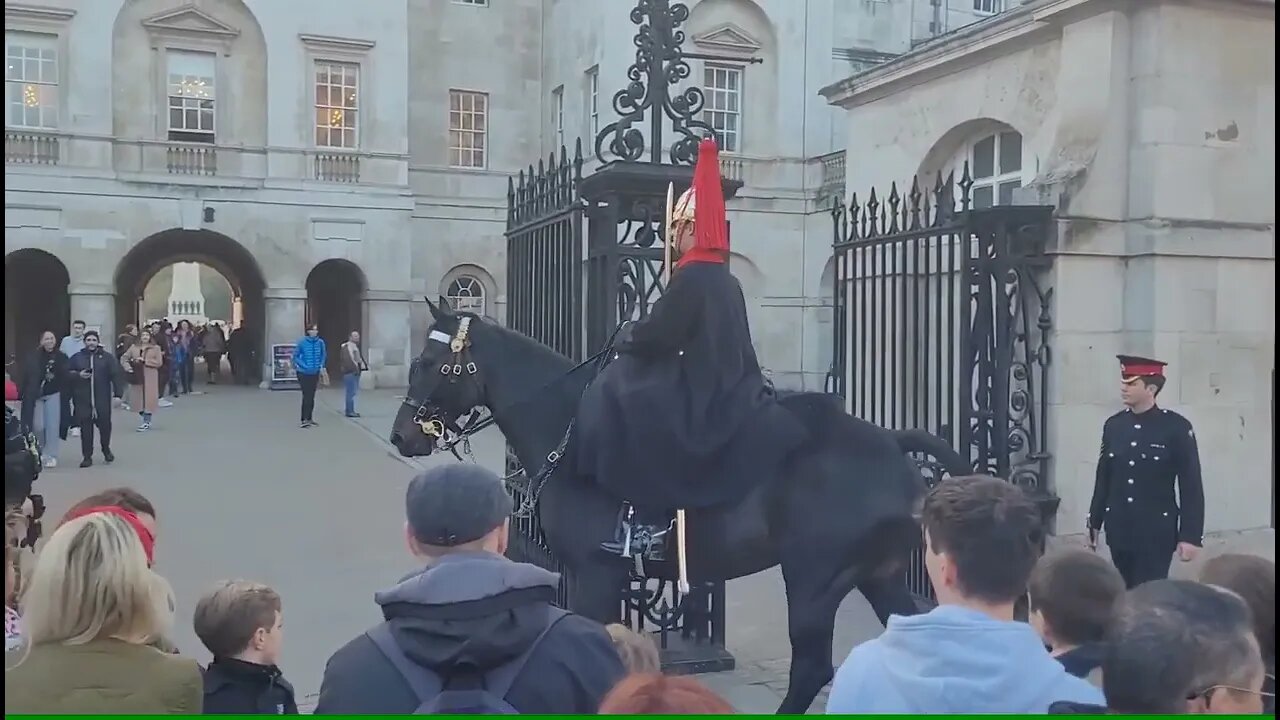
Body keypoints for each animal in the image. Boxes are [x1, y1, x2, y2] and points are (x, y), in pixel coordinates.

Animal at [391, 297, 967, 712]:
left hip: (814, 580)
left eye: (428, 362)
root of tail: (891, 441)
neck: (569, 431)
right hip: (875, 573)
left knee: (812, 669)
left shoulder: (595, 574)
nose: (401, 436)